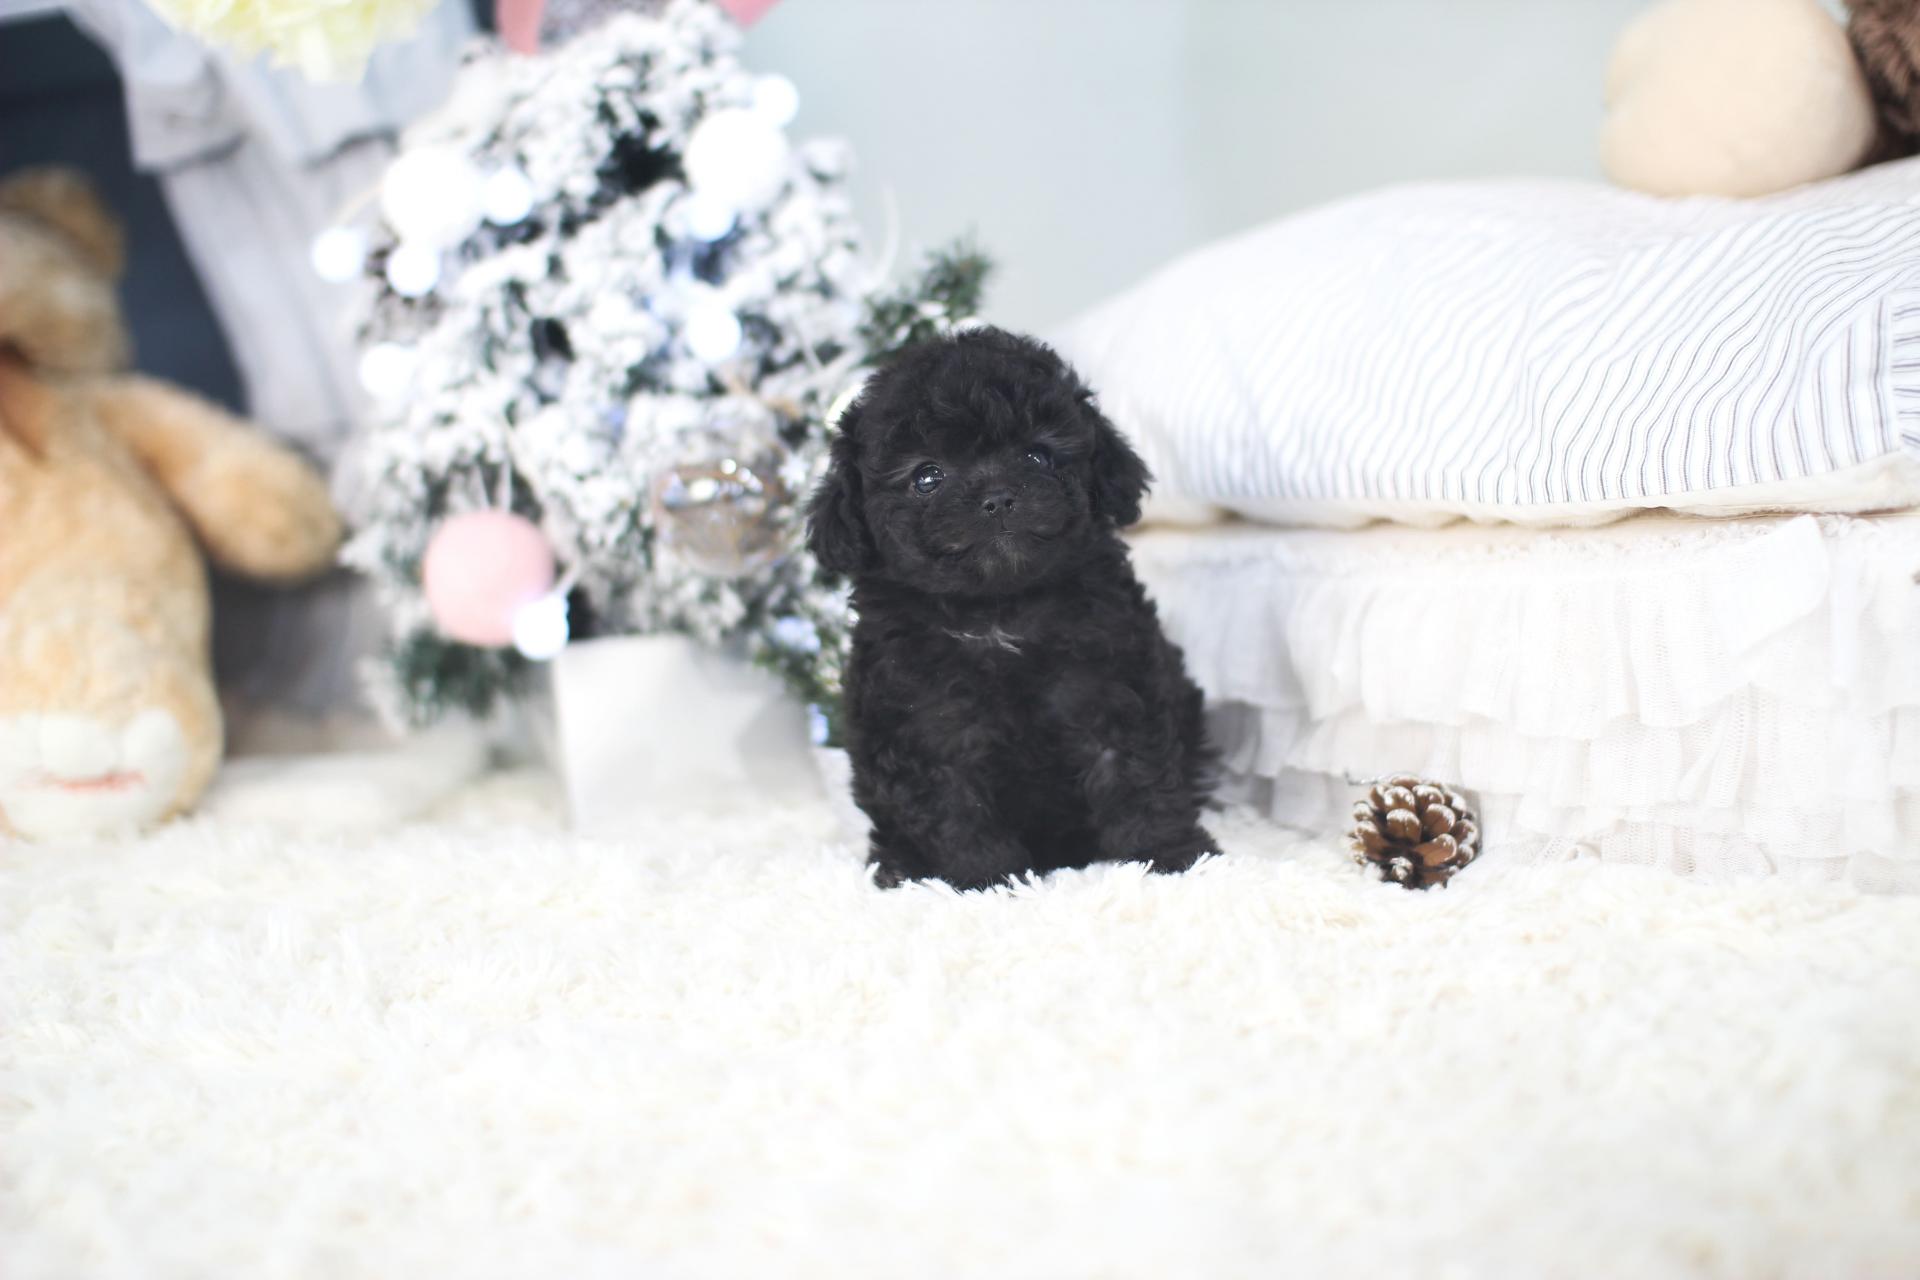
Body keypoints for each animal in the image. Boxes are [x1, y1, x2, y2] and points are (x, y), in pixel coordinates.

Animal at [805, 326, 1217, 890]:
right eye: (927, 477)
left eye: (1037, 456)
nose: (998, 497)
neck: (997, 611)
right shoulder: (927, 730)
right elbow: (954, 811)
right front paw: (991, 881)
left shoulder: (1113, 691)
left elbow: (1139, 778)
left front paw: (1173, 856)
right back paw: (899, 867)